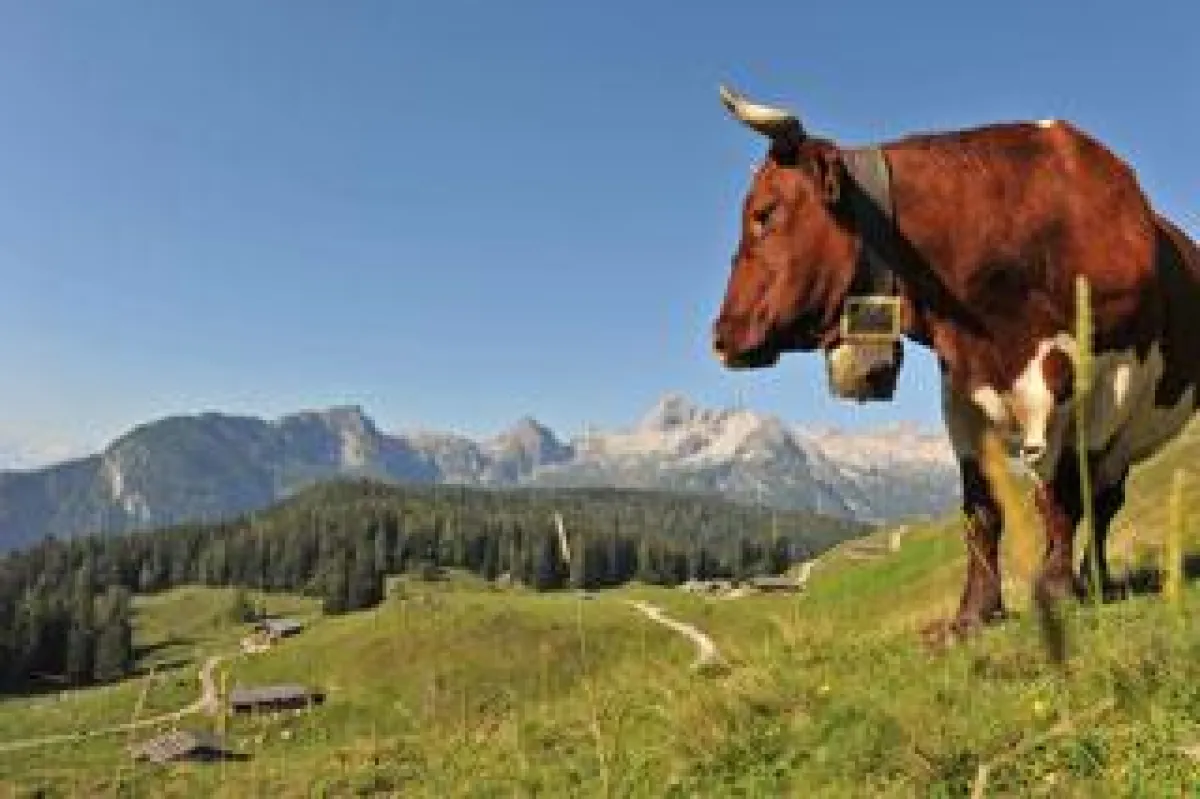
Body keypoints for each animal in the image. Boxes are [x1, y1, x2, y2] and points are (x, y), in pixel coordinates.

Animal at [710, 85, 1200, 640]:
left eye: (765, 213)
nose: (721, 336)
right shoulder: (963, 391)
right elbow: (981, 510)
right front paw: (973, 614)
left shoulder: (1106, 384)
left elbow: (1065, 496)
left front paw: (1056, 591)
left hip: (1126, 430)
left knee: (1102, 501)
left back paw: (1093, 582)